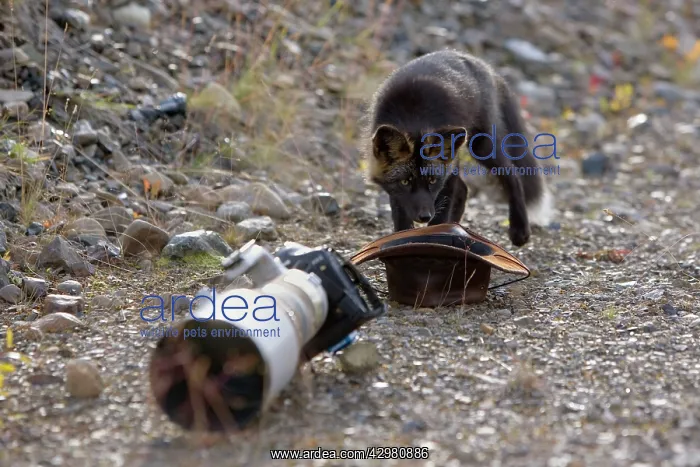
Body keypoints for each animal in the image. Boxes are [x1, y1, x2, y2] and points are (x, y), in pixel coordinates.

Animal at [360, 49, 554, 246]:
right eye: (405, 182)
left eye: (432, 180)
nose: (424, 216)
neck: (414, 120)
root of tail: (474, 60)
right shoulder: (398, 193)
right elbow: (402, 223)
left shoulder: (446, 179)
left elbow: (439, 220)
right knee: (464, 189)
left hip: (481, 147)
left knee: (512, 175)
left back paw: (519, 229)